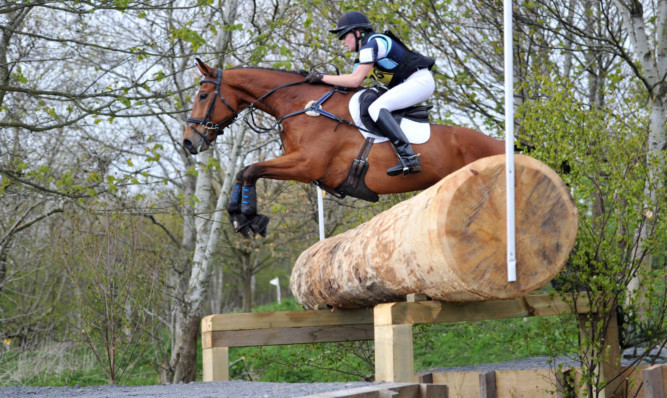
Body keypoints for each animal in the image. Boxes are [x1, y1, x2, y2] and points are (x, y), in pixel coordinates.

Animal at [185, 58, 504, 238]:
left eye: (203, 95)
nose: (189, 142)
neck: (302, 106)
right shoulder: (299, 164)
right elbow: (245, 172)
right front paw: (241, 217)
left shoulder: (306, 164)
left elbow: (250, 170)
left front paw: (249, 217)